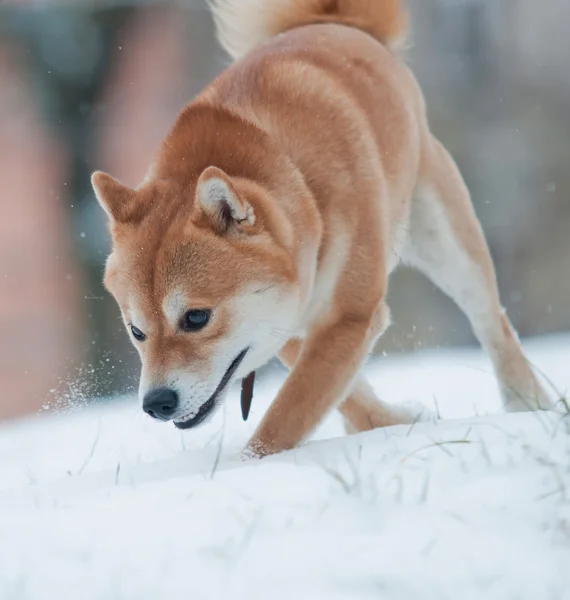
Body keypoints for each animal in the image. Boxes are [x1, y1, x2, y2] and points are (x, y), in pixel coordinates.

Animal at [90, 0, 552, 458]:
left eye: (196, 317)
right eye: (136, 331)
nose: (156, 403)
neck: (297, 185)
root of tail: (331, 21)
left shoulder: (349, 316)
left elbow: (289, 412)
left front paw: (255, 463)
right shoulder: (289, 322)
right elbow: (337, 393)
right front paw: (392, 421)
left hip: (446, 236)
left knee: (491, 320)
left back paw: (526, 402)